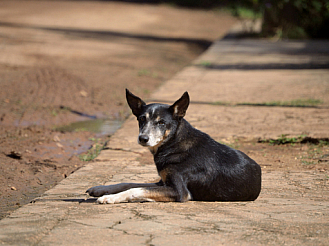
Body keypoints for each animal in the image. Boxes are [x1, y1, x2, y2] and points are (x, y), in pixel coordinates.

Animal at [86, 89, 262, 204]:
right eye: (141, 119)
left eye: (161, 123)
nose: (143, 138)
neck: (174, 143)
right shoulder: (162, 182)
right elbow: (128, 183)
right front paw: (100, 189)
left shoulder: (179, 191)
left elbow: (136, 190)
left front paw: (109, 197)